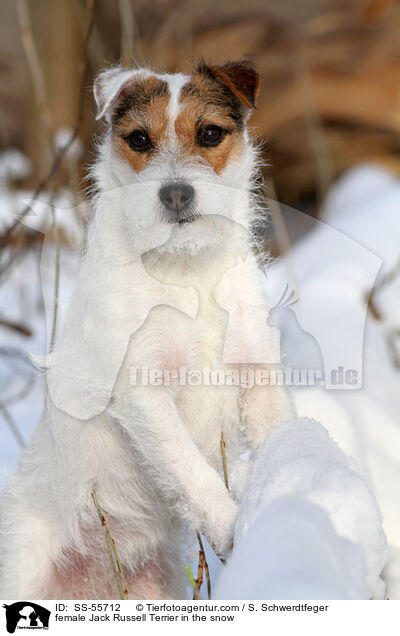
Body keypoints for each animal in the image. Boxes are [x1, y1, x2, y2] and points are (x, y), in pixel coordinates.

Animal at [0, 57, 294, 600]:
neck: (186, 269)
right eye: (138, 139)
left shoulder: (257, 372)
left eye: (209, 133)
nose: (175, 193)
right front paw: (228, 525)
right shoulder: (143, 392)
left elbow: (277, 431)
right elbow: (189, 468)